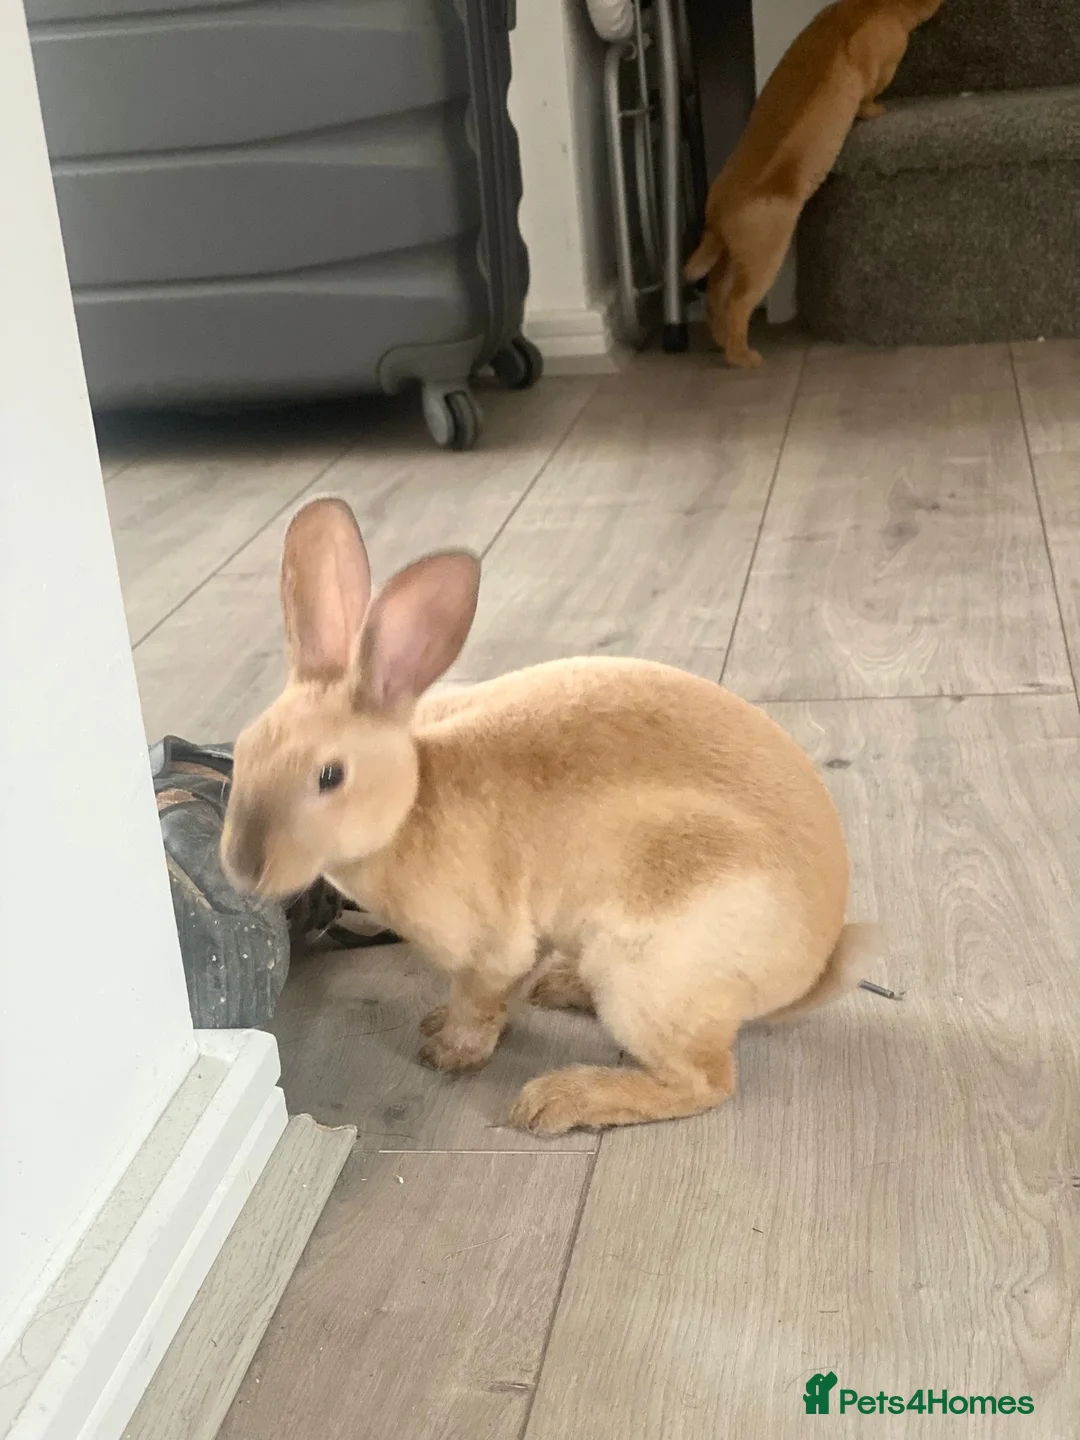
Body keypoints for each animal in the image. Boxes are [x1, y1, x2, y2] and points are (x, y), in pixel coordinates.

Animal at [220, 496, 872, 1135]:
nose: (242, 868)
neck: (411, 801)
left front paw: (447, 1051)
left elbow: (478, 1003)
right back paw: (563, 990)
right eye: (245, 747)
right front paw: (443, 1025)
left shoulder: (489, 948)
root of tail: (805, 971)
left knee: (705, 1082)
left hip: (646, 975)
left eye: (330, 776)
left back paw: (556, 1101)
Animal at [684, 0, 944, 368]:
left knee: (716, 297)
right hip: (765, 258)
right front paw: (876, 110)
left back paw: (722, 341)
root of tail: (716, 214)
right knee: (736, 304)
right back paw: (744, 356)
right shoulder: (879, 62)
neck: (868, 8)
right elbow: (869, 96)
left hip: (733, 261)